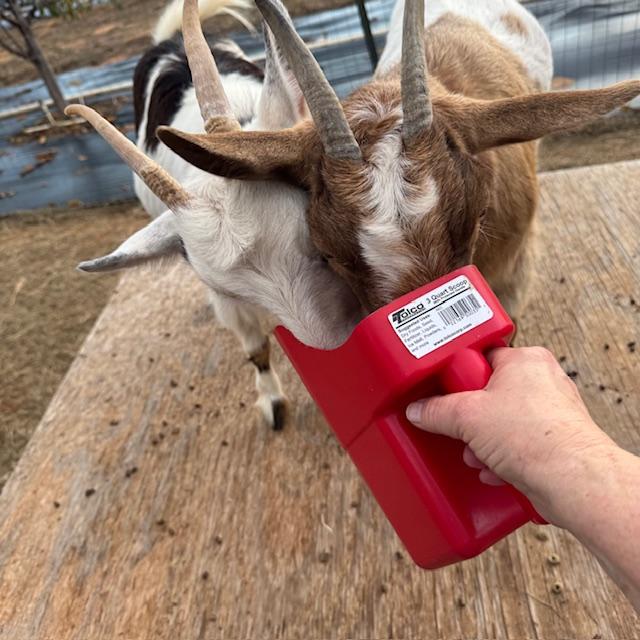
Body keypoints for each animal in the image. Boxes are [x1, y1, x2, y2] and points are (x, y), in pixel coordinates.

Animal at [68, 0, 362, 431]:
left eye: (321, 249)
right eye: (234, 292)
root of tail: (170, 41)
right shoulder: (226, 300)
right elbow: (255, 345)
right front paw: (272, 402)